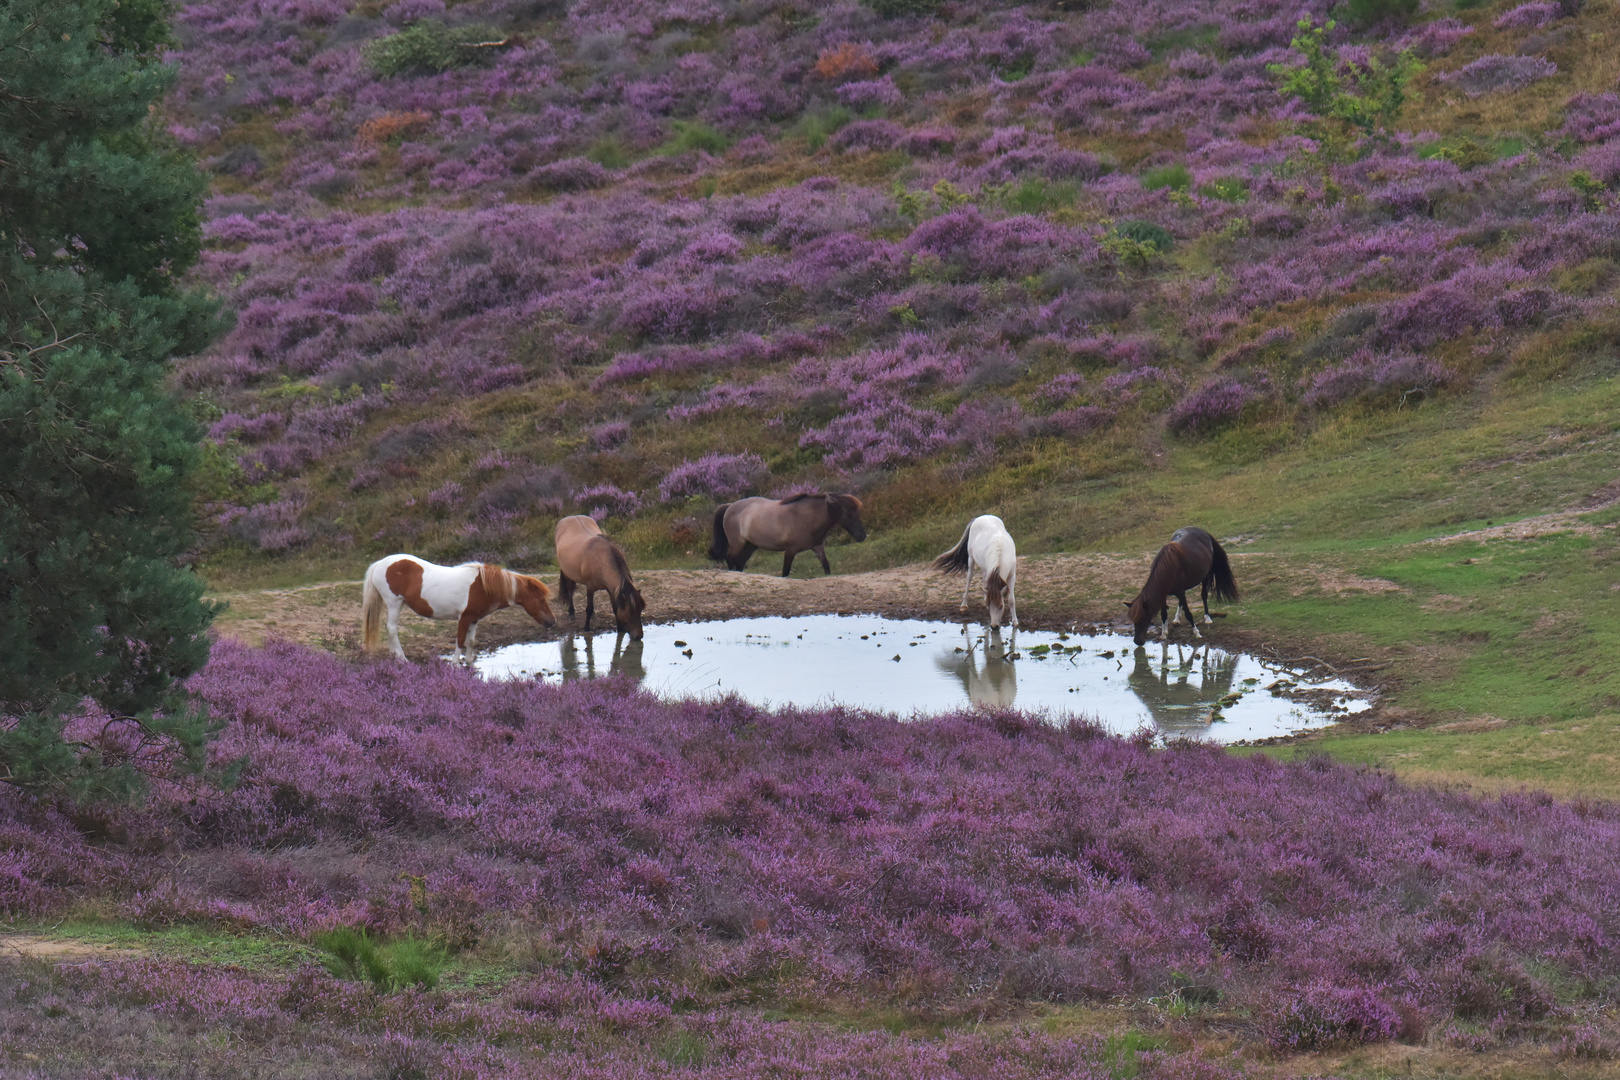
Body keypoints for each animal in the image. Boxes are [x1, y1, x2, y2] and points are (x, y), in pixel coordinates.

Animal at [362, 553, 557, 663]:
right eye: (540, 599)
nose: (552, 622)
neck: (483, 586)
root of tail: (380, 563)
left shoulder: (474, 619)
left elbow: (471, 641)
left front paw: (470, 661)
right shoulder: (464, 618)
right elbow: (460, 640)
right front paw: (455, 663)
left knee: (389, 629)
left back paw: (394, 655)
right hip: (394, 602)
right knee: (392, 628)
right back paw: (402, 658)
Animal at [706, 495, 868, 579]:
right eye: (849, 514)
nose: (862, 536)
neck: (807, 516)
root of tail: (729, 506)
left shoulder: (817, 547)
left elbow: (826, 566)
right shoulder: (790, 551)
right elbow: (785, 572)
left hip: (750, 546)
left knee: (739, 563)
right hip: (737, 544)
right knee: (730, 559)